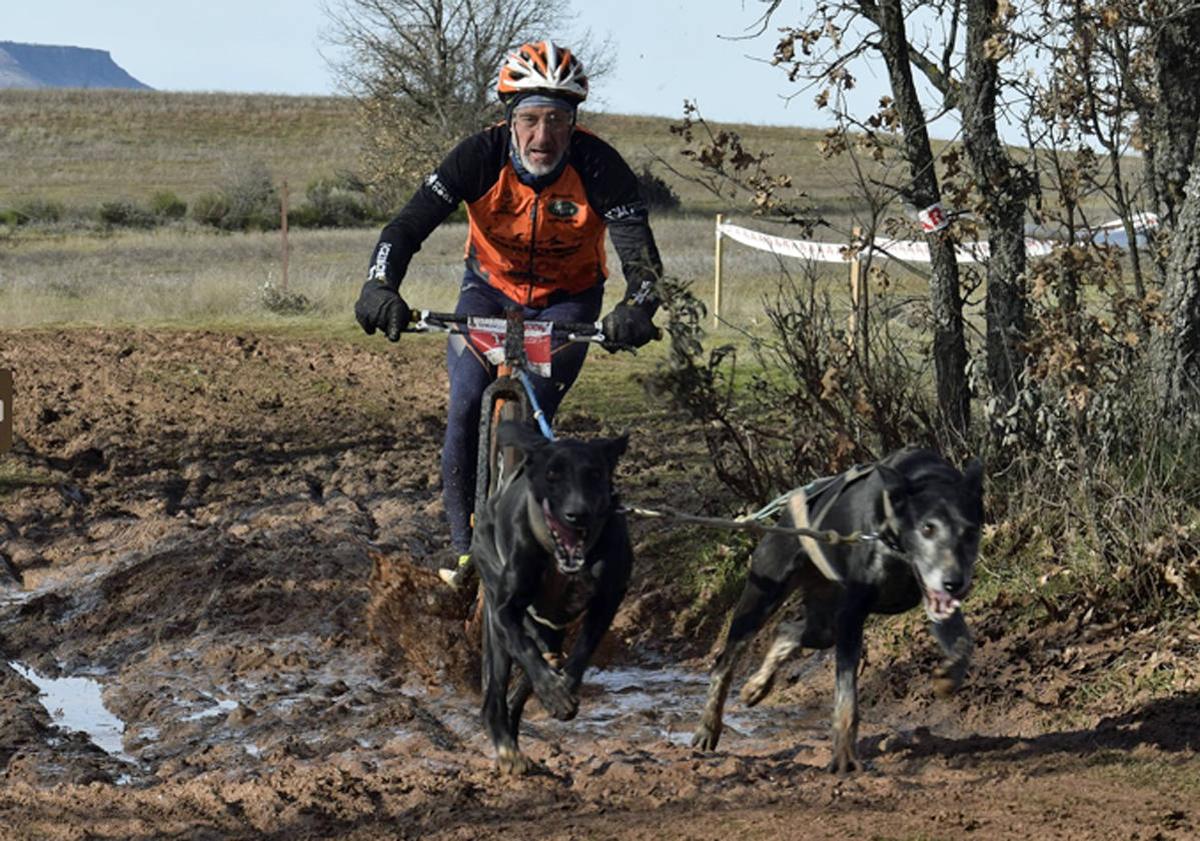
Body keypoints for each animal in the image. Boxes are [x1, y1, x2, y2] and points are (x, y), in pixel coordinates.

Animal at [470, 419, 638, 772]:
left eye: (594, 473)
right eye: (552, 475)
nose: (578, 513)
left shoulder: (608, 599)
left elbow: (583, 650)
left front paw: (564, 687)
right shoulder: (505, 610)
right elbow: (524, 647)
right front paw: (554, 691)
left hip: (551, 628)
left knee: (534, 666)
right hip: (493, 605)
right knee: (498, 688)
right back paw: (506, 746)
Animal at [691, 448, 979, 772]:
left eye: (970, 531)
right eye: (927, 527)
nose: (954, 582)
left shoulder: (934, 602)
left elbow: (963, 644)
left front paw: (948, 678)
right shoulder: (851, 615)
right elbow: (846, 697)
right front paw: (844, 756)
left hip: (824, 624)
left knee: (787, 630)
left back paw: (757, 686)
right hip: (762, 599)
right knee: (724, 664)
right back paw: (708, 726)